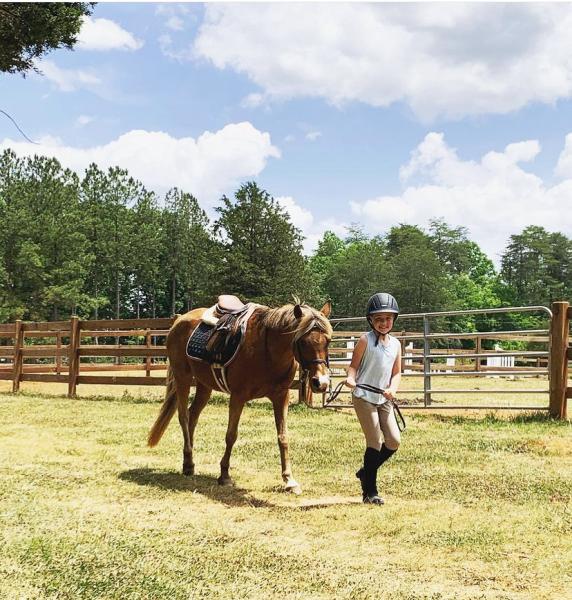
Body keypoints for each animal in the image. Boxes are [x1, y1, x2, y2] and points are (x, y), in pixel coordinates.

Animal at [147, 298, 332, 492]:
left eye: (328, 341)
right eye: (302, 342)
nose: (321, 383)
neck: (268, 351)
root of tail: (179, 320)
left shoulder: (281, 396)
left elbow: (283, 436)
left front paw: (289, 479)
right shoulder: (238, 396)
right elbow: (231, 435)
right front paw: (224, 475)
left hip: (204, 385)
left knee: (193, 416)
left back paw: (188, 463)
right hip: (182, 378)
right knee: (183, 416)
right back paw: (189, 463)